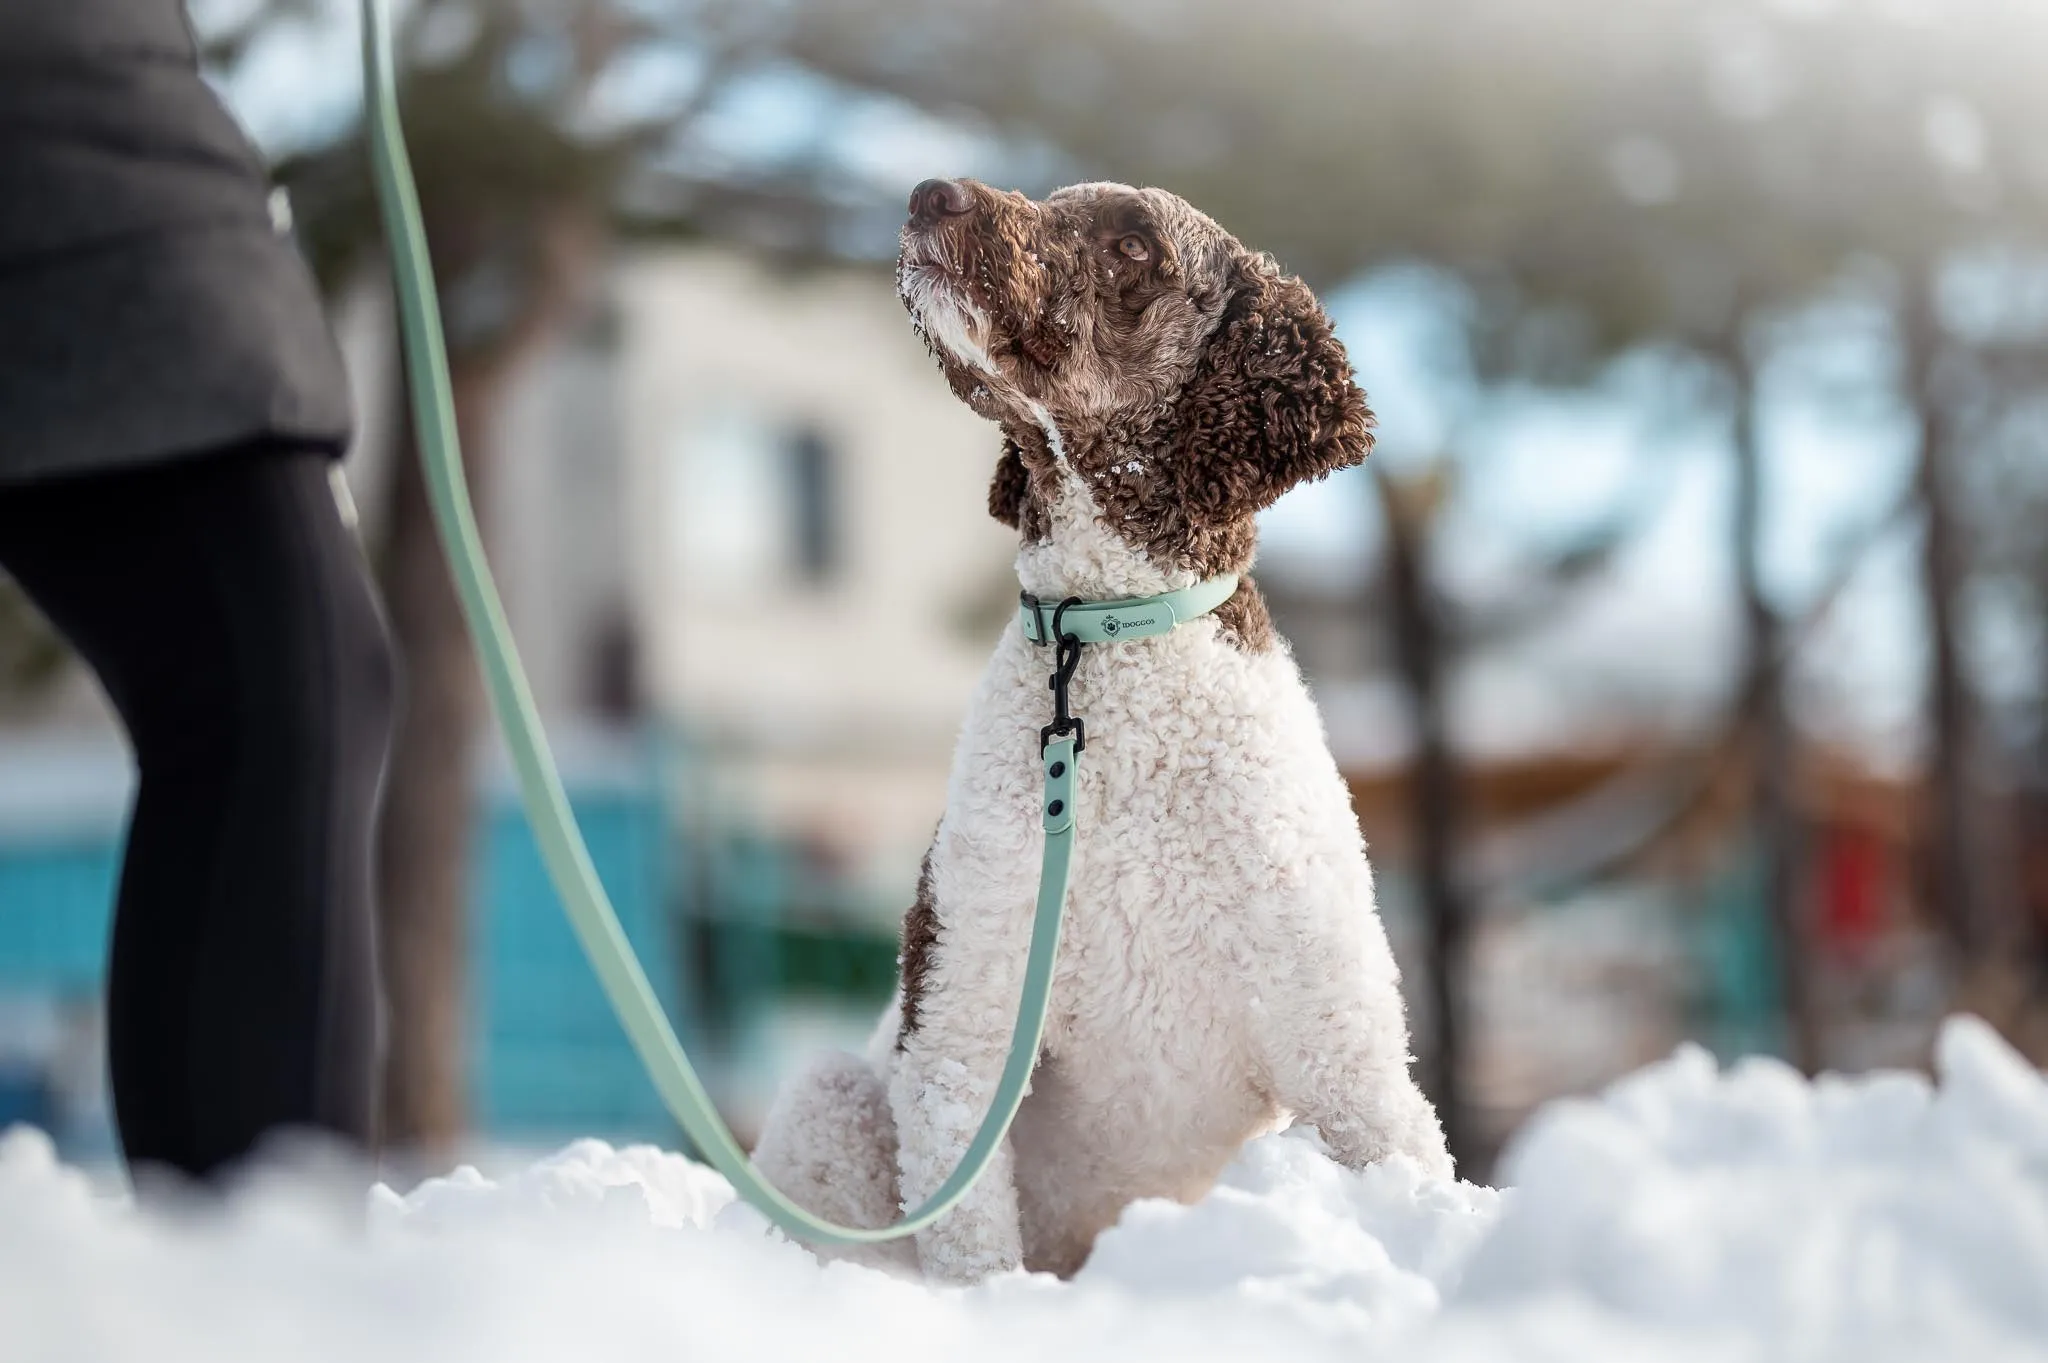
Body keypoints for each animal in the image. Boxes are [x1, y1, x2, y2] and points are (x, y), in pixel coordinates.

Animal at [745, 174, 1449, 1277]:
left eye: (1130, 246)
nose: (929, 190)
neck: (1106, 642)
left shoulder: (1346, 1046)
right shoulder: (961, 1030)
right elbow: (971, 1246)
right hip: (833, 1098)